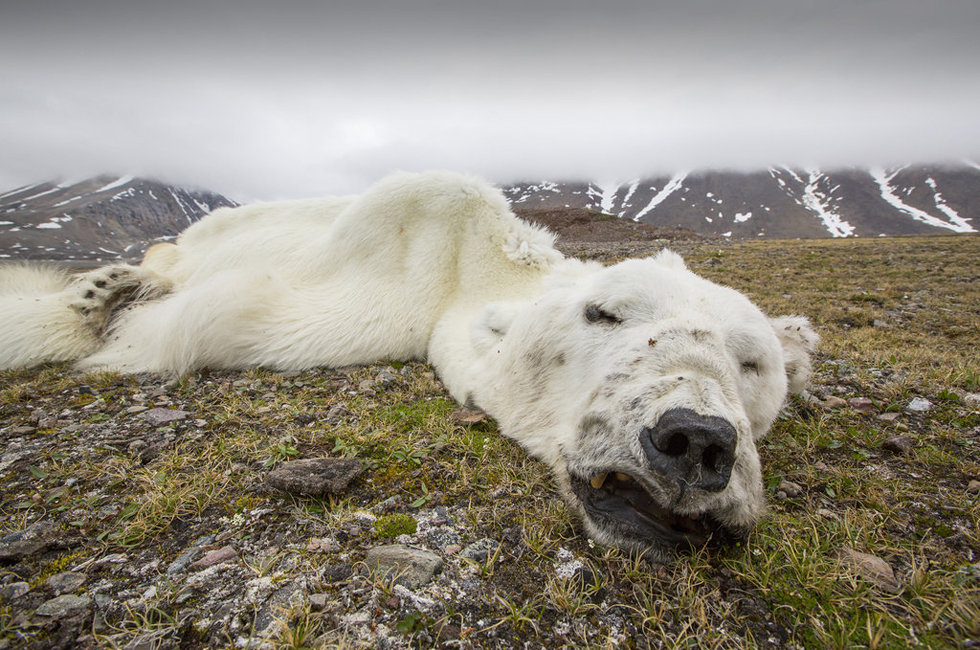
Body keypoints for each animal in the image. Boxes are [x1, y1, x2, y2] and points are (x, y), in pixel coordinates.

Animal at [0, 171, 816, 556]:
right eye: (604, 313)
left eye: (752, 362)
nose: (696, 441)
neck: (473, 267)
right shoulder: (393, 261)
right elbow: (224, 315)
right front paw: (97, 309)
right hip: (203, 233)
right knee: (172, 255)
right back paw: (113, 282)